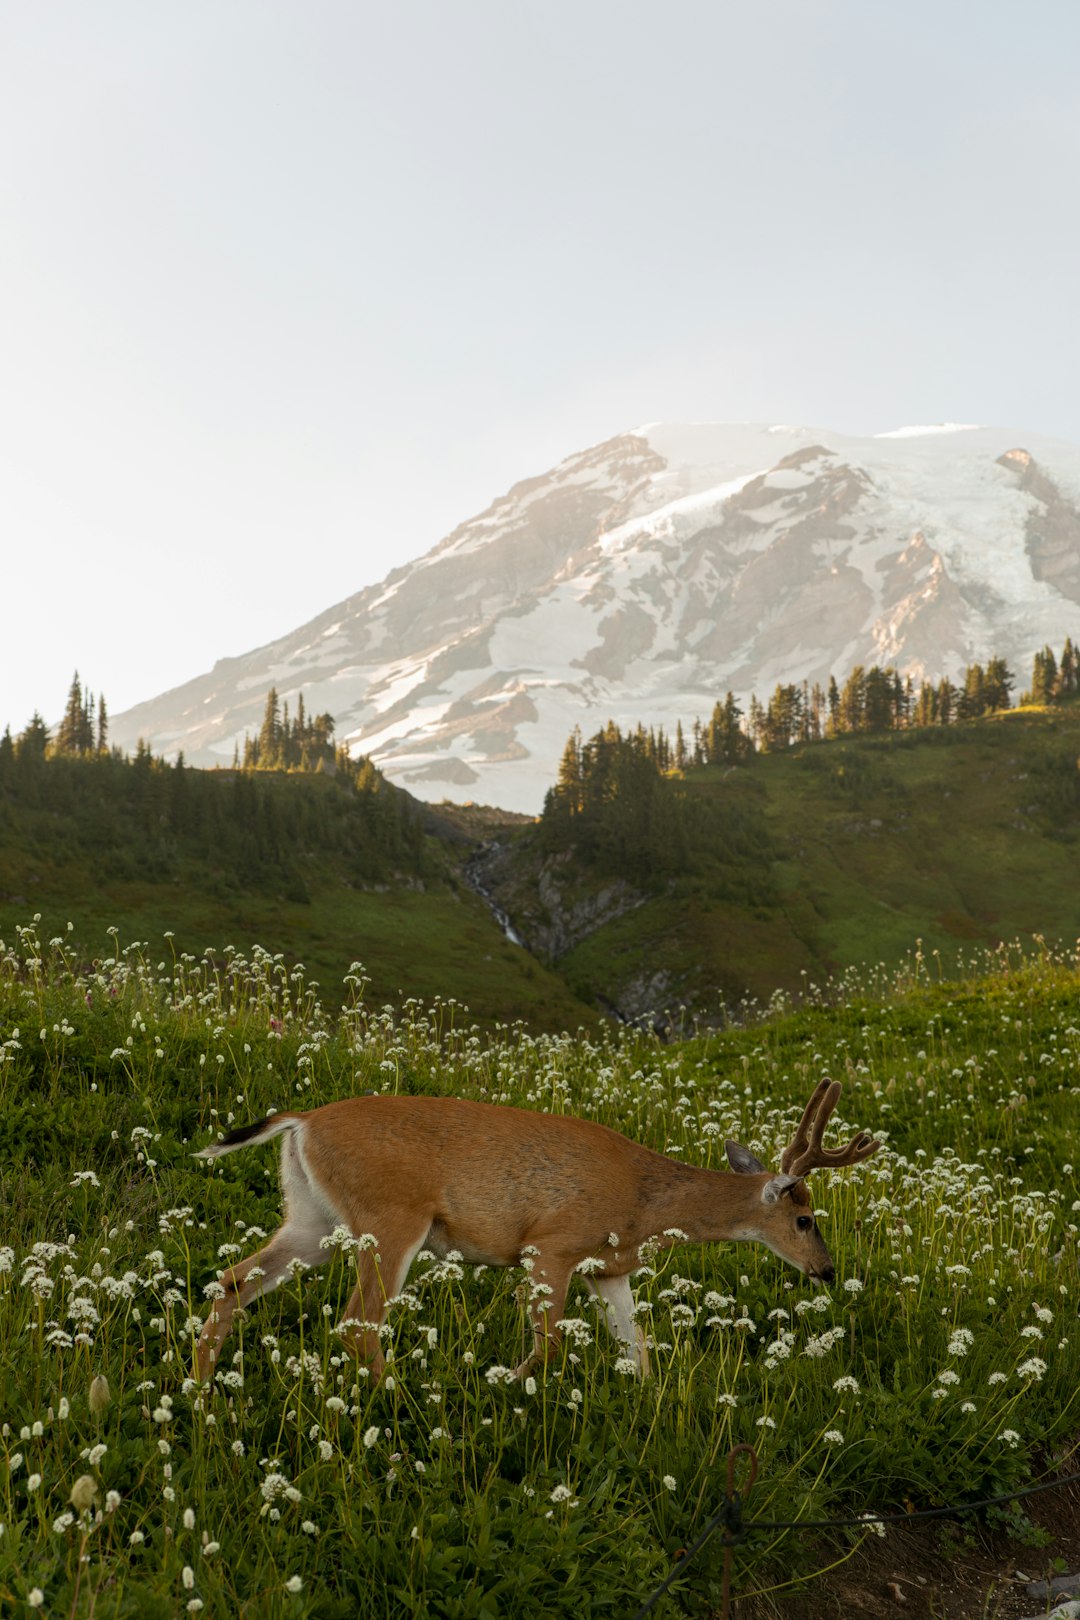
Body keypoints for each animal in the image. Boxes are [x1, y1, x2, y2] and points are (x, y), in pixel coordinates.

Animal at [193, 1078, 879, 1383]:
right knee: (358, 1322)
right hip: (390, 1220)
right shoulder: (551, 1246)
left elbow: (639, 1351)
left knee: (230, 1283)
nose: (827, 1271)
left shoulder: (610, 1270)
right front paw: (502, 1389)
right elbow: (549, 1346)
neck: (645, 1207)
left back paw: (200, 1393)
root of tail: (302, 1120)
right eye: (805, 1219)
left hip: (313, 1219)